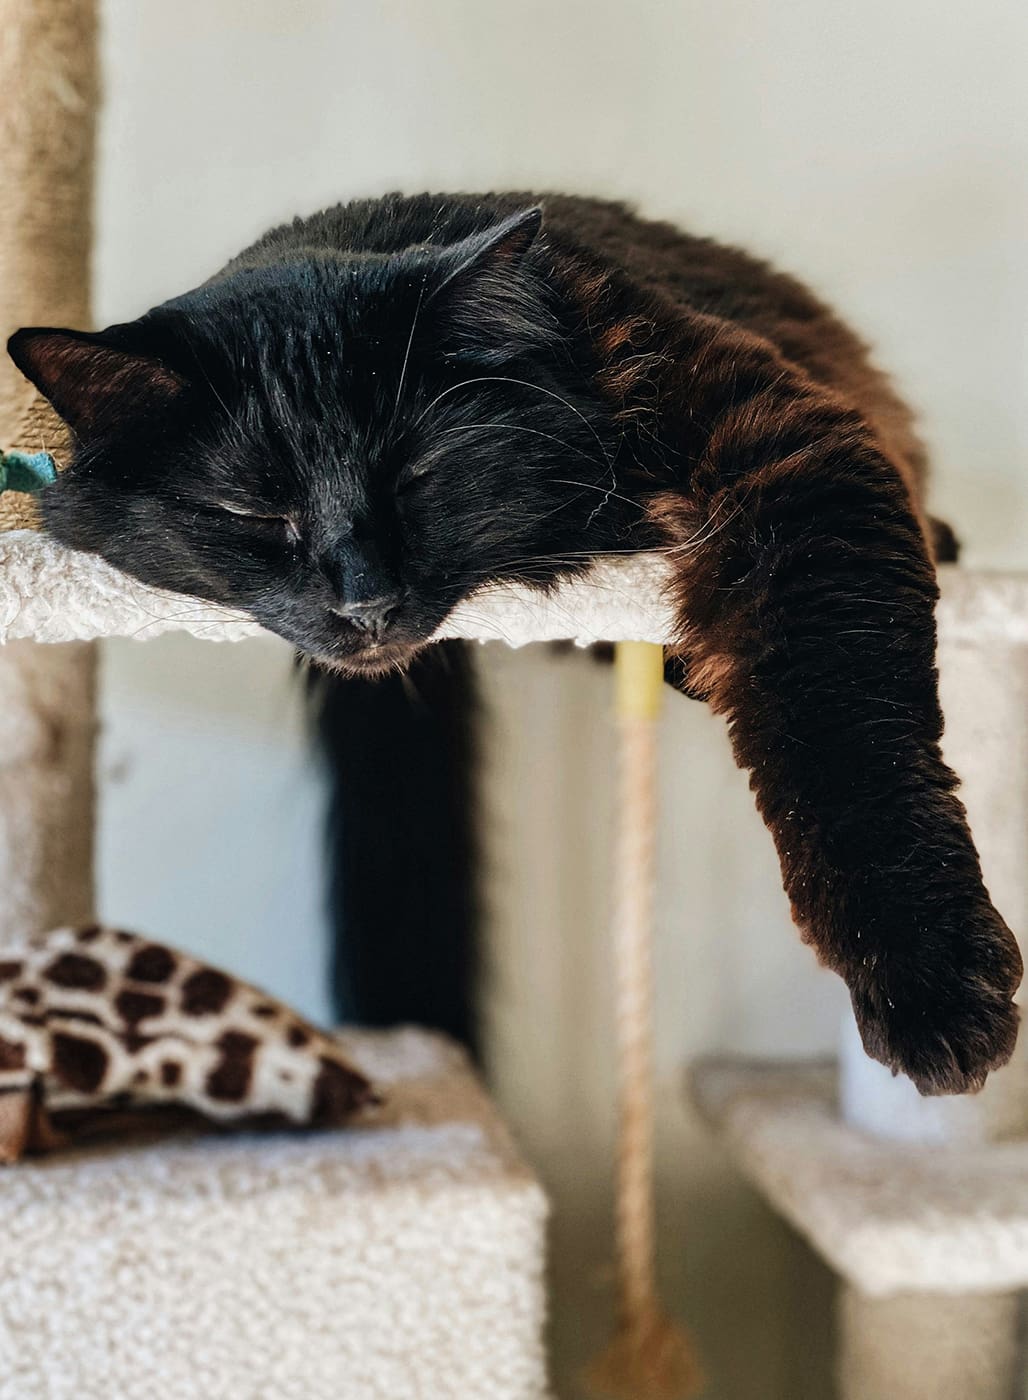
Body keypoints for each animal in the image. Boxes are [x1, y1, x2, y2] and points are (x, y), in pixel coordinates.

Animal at [8, 191, 1025, 1097]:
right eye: (255, 511)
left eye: (414, 472)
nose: (365, 602)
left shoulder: (793, 459)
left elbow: (850, 738)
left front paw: (932, 985)